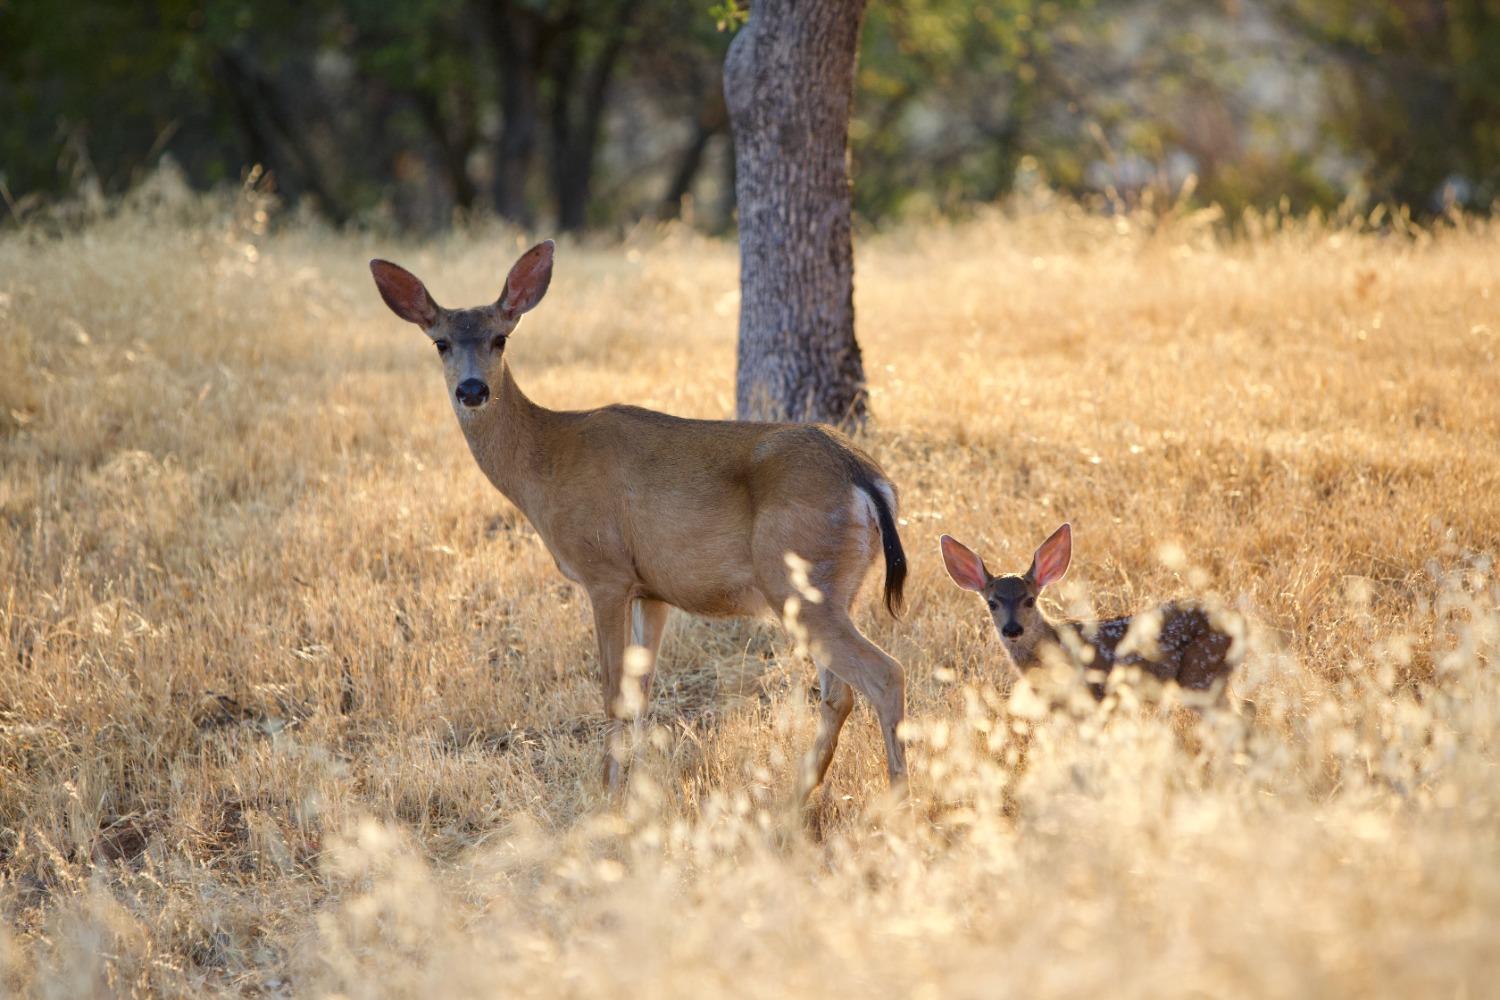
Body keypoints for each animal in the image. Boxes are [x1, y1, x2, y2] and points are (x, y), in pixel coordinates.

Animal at [369, 239, 906, 797]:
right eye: (441, 343)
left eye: (500, 337)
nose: (473, 390)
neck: (545, 461)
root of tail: (866, 479)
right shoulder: (653, 590)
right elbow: (642, 690)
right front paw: (641, 787)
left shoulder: (605, 572)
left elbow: (612, 691)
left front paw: (606, 791)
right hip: (835, 587)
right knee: (839, 693)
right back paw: (798, 796)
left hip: (796, 579)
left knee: (885, 674)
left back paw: (895, 798)